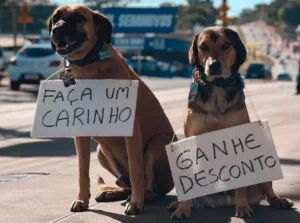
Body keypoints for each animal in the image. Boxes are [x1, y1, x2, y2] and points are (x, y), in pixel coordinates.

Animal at [47, 4, 175, 214]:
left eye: (79, 17)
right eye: (56, 17)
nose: (56, 30)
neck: (89, 66)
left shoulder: (131, 131)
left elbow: (136, 171)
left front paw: (136, 203)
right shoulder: (80, 133)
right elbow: (82, 171)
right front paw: (81, 199)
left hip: (157, 144)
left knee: (151, 188)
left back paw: (140, 197)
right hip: (101, 151)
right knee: (126, 183)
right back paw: (113, 192)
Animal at [168, 26, 294, 220]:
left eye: (226, 45)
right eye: (203, 46)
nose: (213, 65)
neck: (217, 86)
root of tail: (223, 201)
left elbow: (240, 184)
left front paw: (242, 207)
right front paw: (183, 208)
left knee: (269, 191)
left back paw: (278, 200)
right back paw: (178, 204)